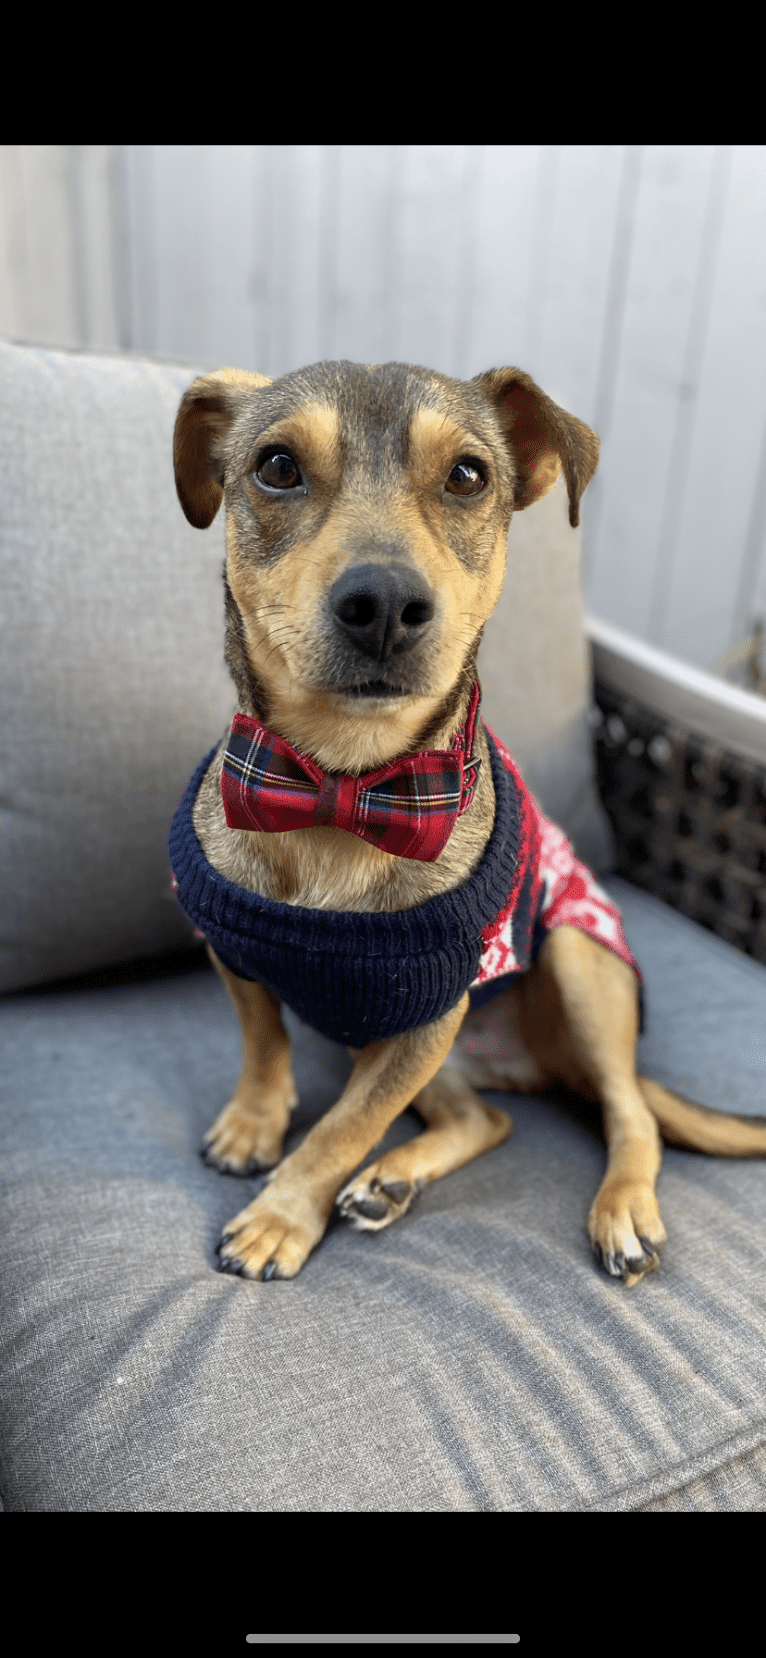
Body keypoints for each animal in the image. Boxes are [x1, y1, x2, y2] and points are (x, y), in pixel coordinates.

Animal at [169, 359, 766, 1279]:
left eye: (467, 475)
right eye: (275, 467)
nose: (384, 603)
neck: (343, 784)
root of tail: (528, 1066)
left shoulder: (431, 1006)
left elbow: (344, 1127)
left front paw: (280, 1216)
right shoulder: (242, 951)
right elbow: (263, 1043)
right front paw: (253, 1124)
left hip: (577, 963)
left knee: (630, 1113)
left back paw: (624, 1207)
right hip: (407, 1039)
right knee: (486, 1119)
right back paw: (393, 1181)